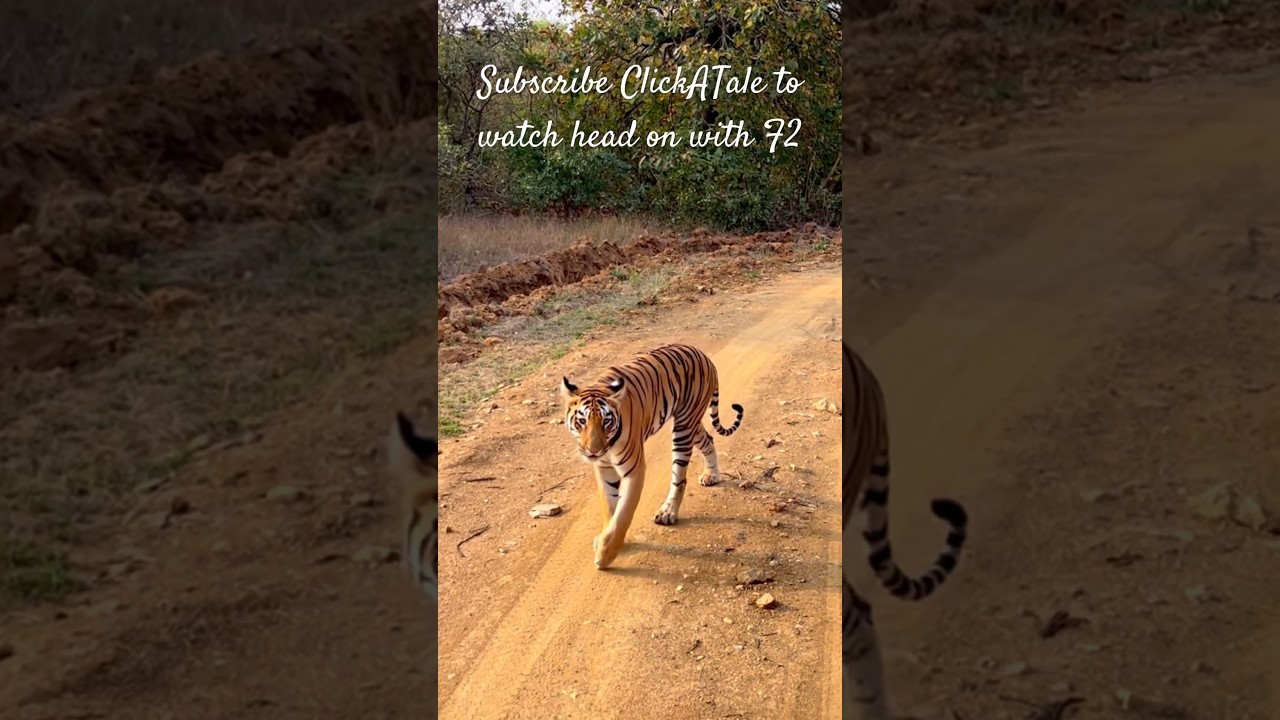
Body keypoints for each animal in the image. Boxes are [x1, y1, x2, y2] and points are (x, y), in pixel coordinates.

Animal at [560, 343, 744, 570]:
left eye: (606, 422)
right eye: (582, 421)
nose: (593, 450)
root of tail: (703, 356)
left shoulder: (634, 470)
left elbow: (623, 513)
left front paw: (605, 554)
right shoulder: (604, 469)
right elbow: (610, 508)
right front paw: (605, 537)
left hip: (684, 427)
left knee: (679, 478)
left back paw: (668, 512)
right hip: (691, 423)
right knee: (708, 439)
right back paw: (711, 475)